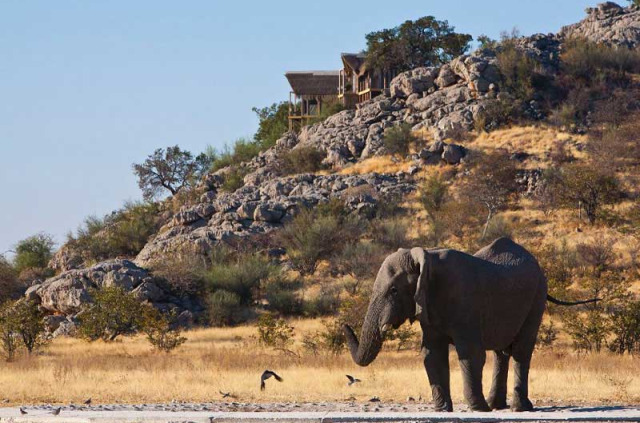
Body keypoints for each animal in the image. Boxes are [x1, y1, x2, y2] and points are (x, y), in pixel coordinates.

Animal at [342, 238, 596, 414]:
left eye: (394, 290)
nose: (344, 324)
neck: (426, 258)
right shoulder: (429, 306)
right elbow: (431, 353)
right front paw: (442, 410)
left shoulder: (464, 301)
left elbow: (470, 353)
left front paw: (478, 409)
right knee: (501, 352)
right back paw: (497, 405)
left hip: (537, 296)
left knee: (522, 351)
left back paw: (519, 408)